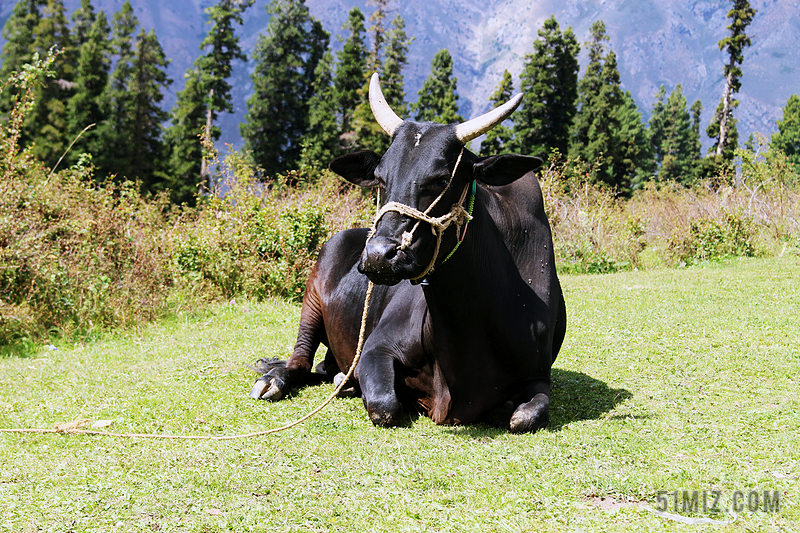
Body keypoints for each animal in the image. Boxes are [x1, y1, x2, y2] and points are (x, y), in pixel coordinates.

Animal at [250, 79, 568, 430]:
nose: (378, 255)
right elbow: (385, 406)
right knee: (301, 360)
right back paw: (277, 379)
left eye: (441, 179)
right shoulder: (376, 348)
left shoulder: (538, 375)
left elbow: (526, 416)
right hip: (312, 300)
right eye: (379, 177)